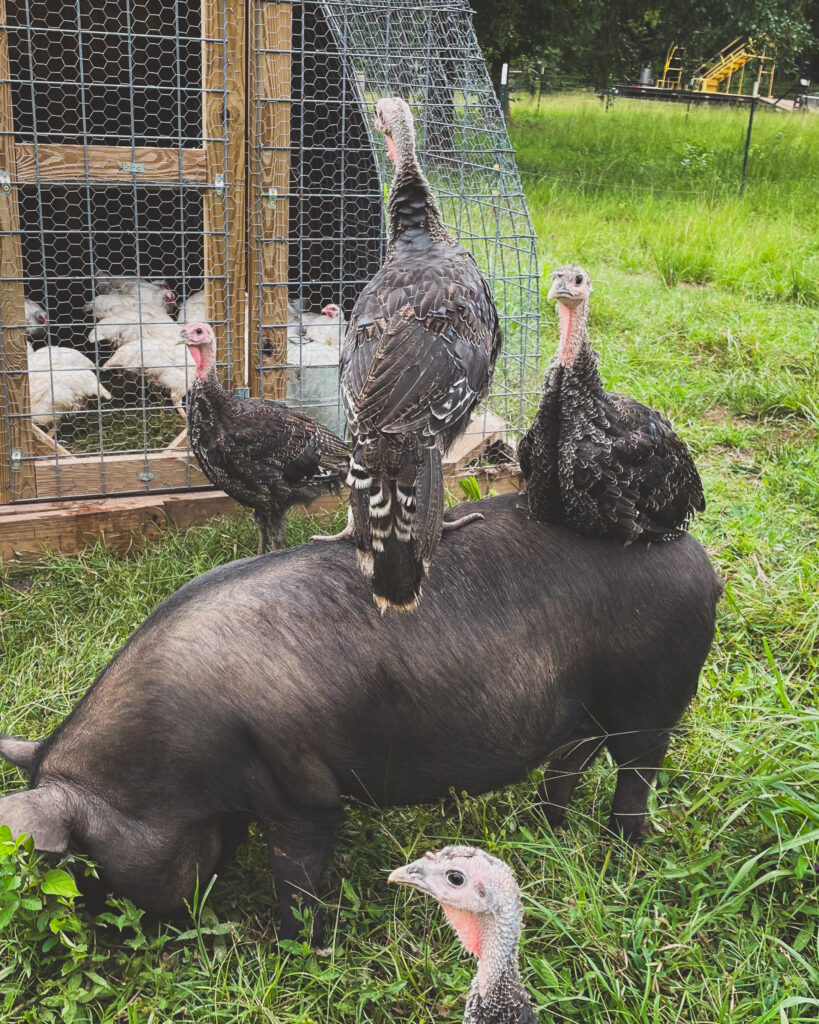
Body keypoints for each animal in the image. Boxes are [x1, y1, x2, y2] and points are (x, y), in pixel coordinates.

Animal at [0, 491, 716, 937]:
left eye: (81, 863)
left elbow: (296, 875)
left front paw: (297, 948)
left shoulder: (303, 788)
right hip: (587, 708)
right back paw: (543, 828)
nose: (113, 936)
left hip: (651, 699)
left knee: (636, 772)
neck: (175, 767)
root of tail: (698, 557)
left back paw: (619, 853)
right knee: (573, 758)